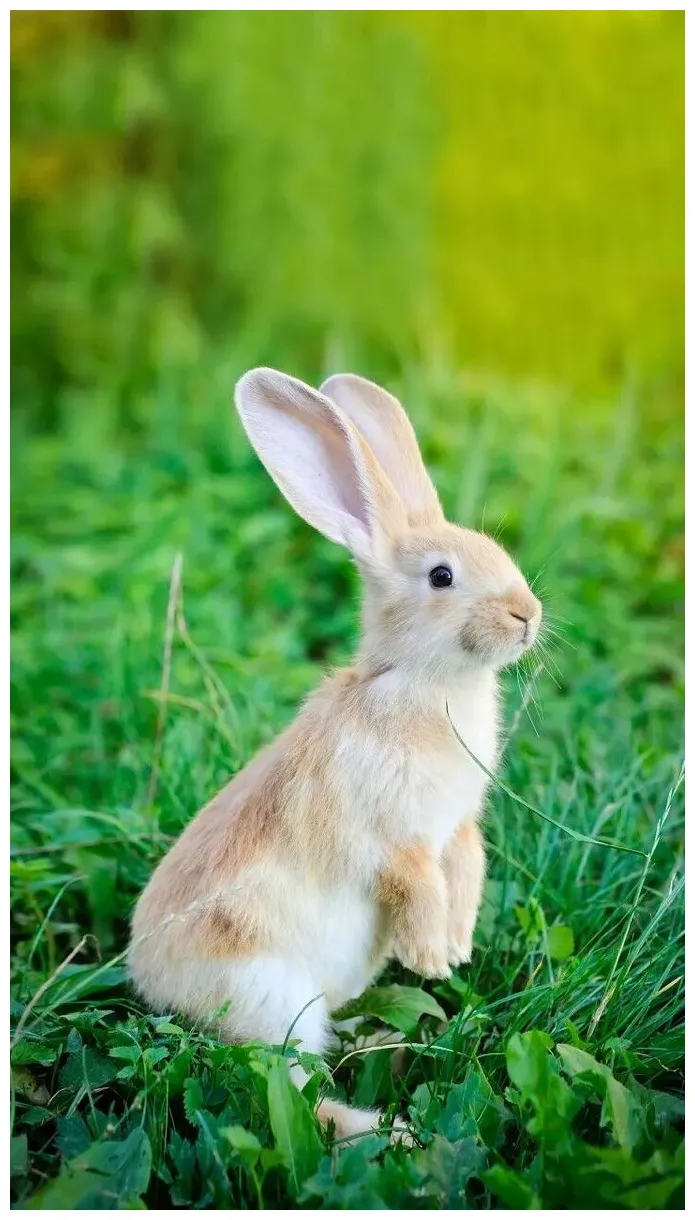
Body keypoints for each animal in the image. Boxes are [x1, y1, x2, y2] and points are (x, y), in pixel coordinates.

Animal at [128, 368, 542, 1142]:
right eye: (441, 577)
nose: (527, 615)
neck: (422, 681)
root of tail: (154, 982)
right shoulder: (392, 832)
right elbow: (416, 883)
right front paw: (430, 956)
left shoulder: (456, 826)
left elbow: (466, 868)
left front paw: (456, 948)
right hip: (271, 992)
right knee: (291, 1089)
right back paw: (391, 1131)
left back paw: (378, 1041)